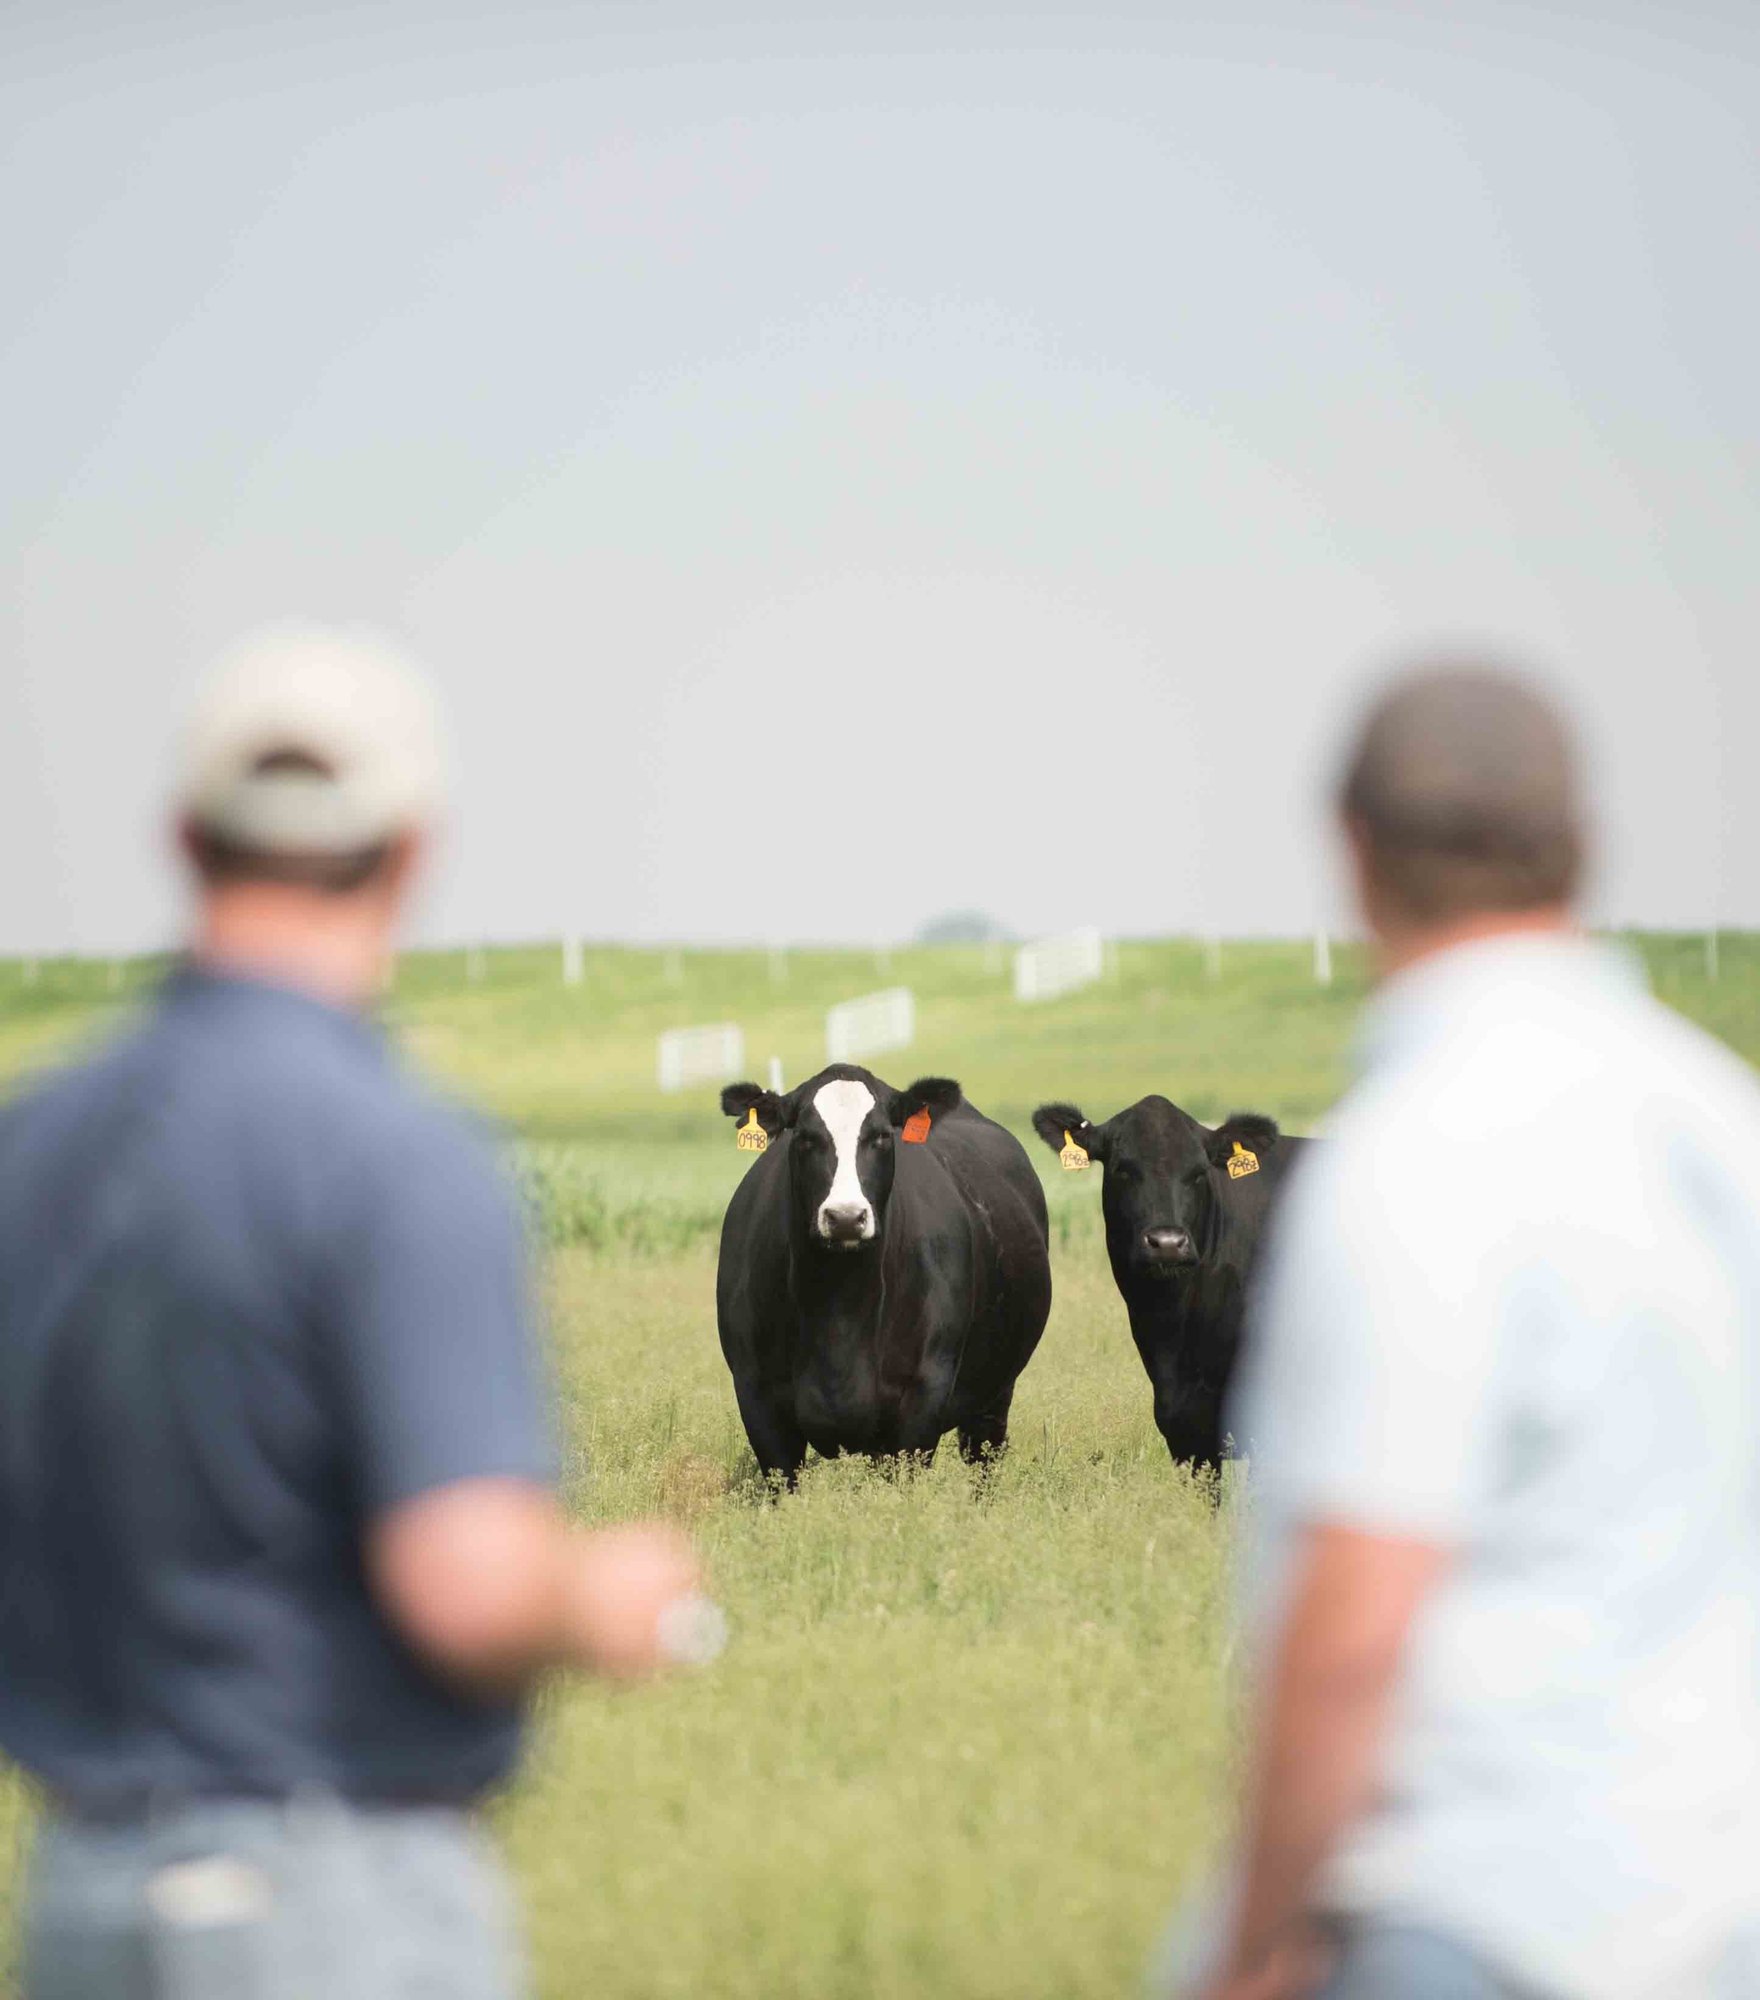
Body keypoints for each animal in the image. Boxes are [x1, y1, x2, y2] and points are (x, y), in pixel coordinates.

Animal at [716, 1065, 1052, 1481]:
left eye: (880, 1136)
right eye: (806, 1137)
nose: (846, 1217)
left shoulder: (921, 1399)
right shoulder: (758, 1398)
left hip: (994, 1396)